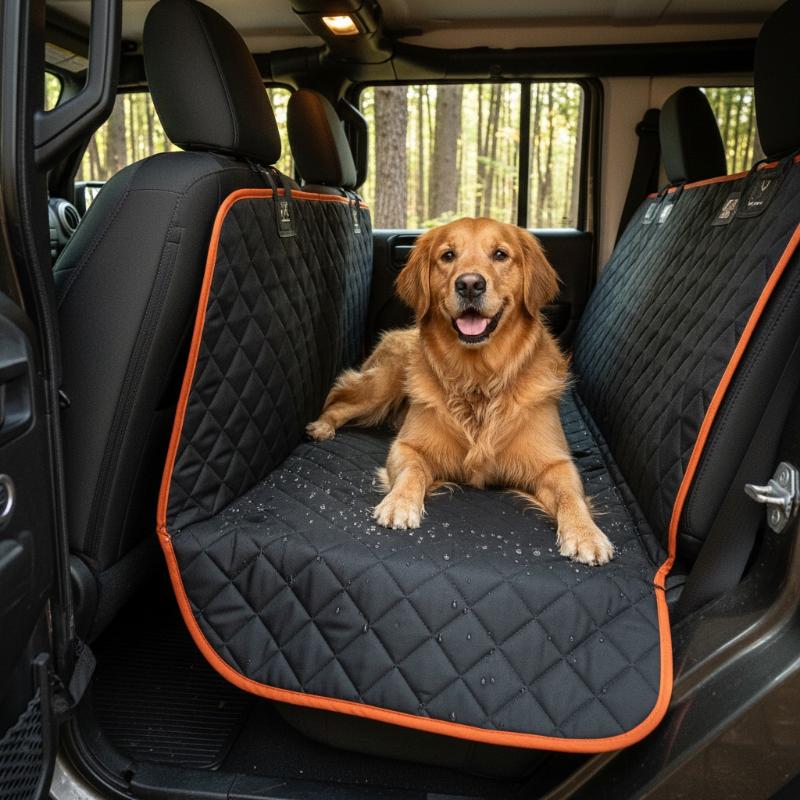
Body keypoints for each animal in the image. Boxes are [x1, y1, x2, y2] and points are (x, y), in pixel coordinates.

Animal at [307, 218, 614, 565]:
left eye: (500, 254)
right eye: (448, 255)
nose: (469, 284)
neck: (478, 378)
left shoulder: (555, 463)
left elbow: (570, 495)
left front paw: (586, 533)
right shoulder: (407, 446)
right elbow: (412, 469)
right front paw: (399, 503)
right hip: (381, 387)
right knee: (338, 399)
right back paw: (322, 426)